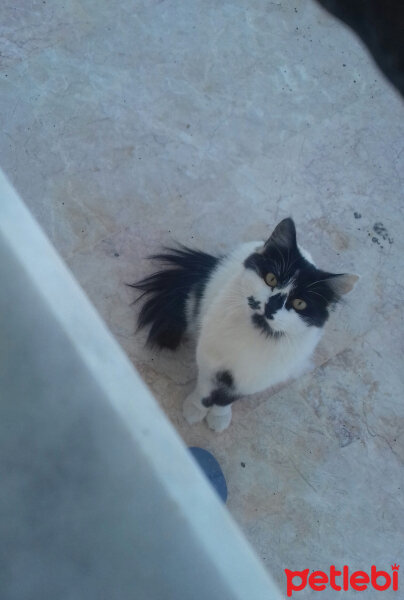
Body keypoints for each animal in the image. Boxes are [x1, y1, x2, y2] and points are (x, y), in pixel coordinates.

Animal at [134, 219, 358, 432]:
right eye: (271, 279)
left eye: (299, 304)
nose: (271, 306)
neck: (254, 333)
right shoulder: (209, 361)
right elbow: (205, 390)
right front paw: (195, 410)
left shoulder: (251, 379)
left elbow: (226, 399)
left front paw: (218, 417)